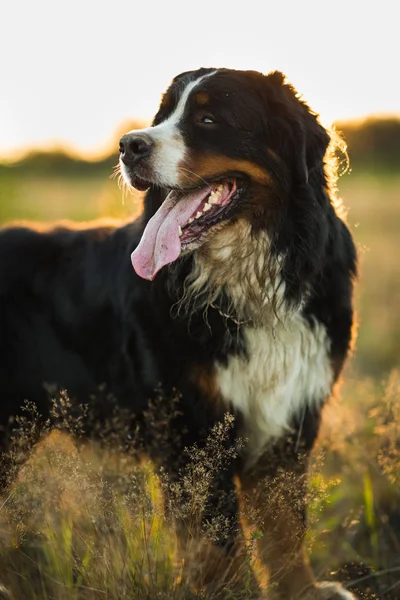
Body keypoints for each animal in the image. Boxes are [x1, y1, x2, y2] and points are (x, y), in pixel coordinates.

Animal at [0, 68, 356, 596]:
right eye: (162, 115)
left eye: (208, 119)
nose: (129, 145)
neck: (247, 281)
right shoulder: (192, 430)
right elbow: (220, 546)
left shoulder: (291, 421)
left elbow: (286, 531)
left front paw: (303, 591)